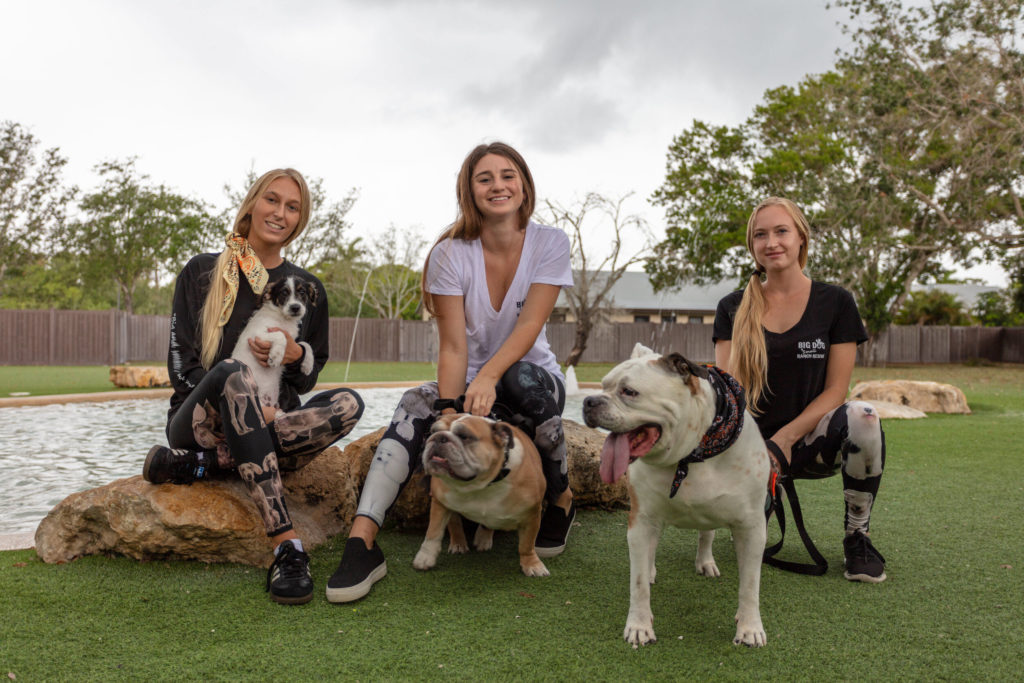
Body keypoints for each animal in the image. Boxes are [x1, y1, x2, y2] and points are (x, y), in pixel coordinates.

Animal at [232, 274, 315, 409]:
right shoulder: (257, 334)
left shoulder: (292, 340)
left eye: (302, 292)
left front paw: (307, 365)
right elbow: (280, 335)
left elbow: (305, 344)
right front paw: (275, 357)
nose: (295, 308)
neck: (283, 318)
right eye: (284, 293)